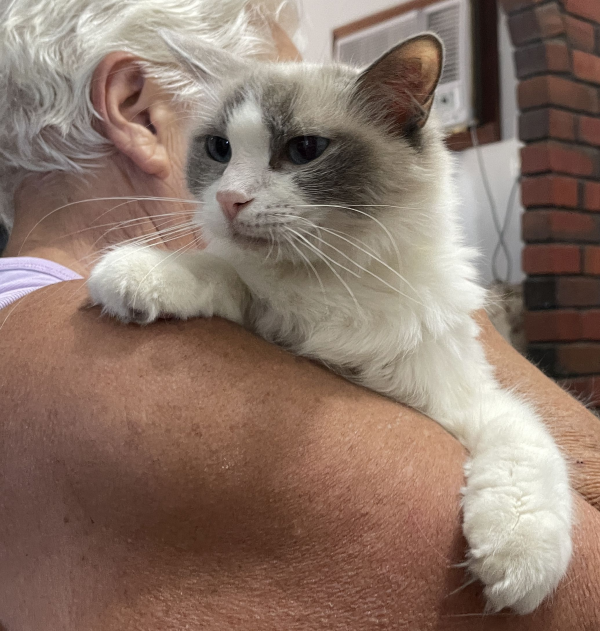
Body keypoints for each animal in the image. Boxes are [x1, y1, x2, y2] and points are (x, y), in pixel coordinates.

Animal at [88, 32, 572, 616]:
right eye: (220, 150)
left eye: (304, 150)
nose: (229, 200)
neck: (332, 285)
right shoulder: (269, 313)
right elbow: (225, 274)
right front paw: (135, 273)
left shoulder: (466, 403)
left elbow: (527, 451)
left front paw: (518, 567)